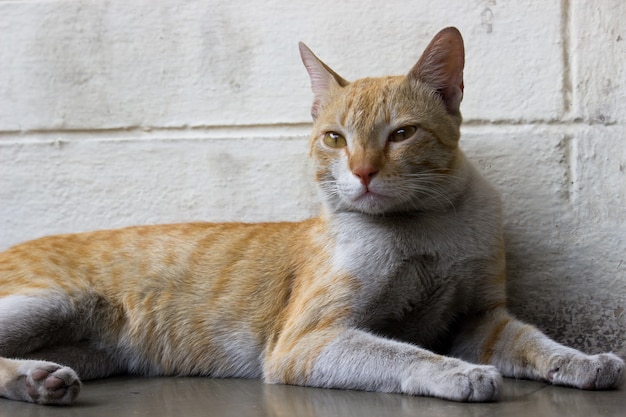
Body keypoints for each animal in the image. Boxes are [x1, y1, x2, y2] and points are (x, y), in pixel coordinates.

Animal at [0, 26, 620, 404]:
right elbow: (400, 350)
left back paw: (37, 379)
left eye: (401, 134)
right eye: (334, 137)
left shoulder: (480, 319)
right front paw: (457, 372)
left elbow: (536, 342)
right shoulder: (307, 341)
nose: (363, 171)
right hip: (53, 301)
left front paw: (586, 361)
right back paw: (35, 377)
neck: (425, 228)